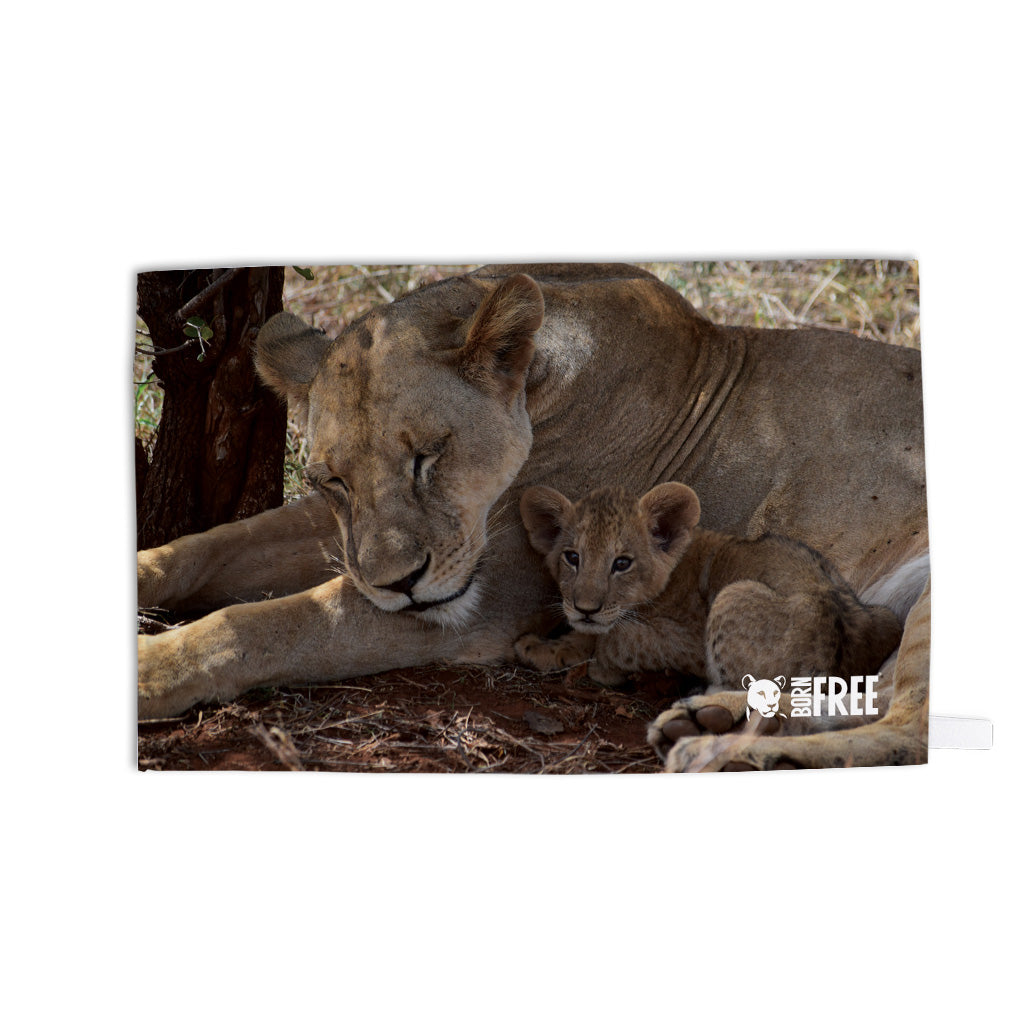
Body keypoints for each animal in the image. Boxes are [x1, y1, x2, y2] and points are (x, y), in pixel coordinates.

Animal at [513, 482, 902, 692]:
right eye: (572, 557)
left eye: (622, 563)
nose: (585, 608)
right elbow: (597, 633)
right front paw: (550, 646)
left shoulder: (689, 643)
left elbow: (617, 638)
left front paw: (589, 663)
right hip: (883, 614)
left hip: (733, 595)